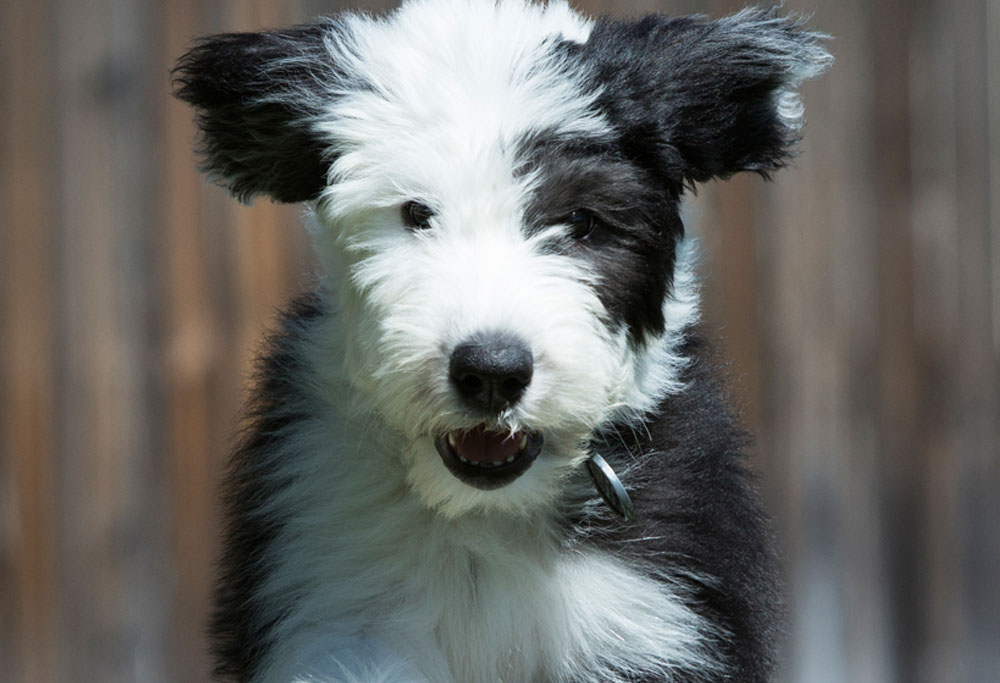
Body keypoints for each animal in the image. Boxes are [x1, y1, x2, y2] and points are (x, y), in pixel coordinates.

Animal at [174, 1, 828, 683]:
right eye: (416, 213)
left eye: (582, 221)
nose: (491, 371)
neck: (486, 516)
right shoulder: (334, 607)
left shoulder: (653, 618)